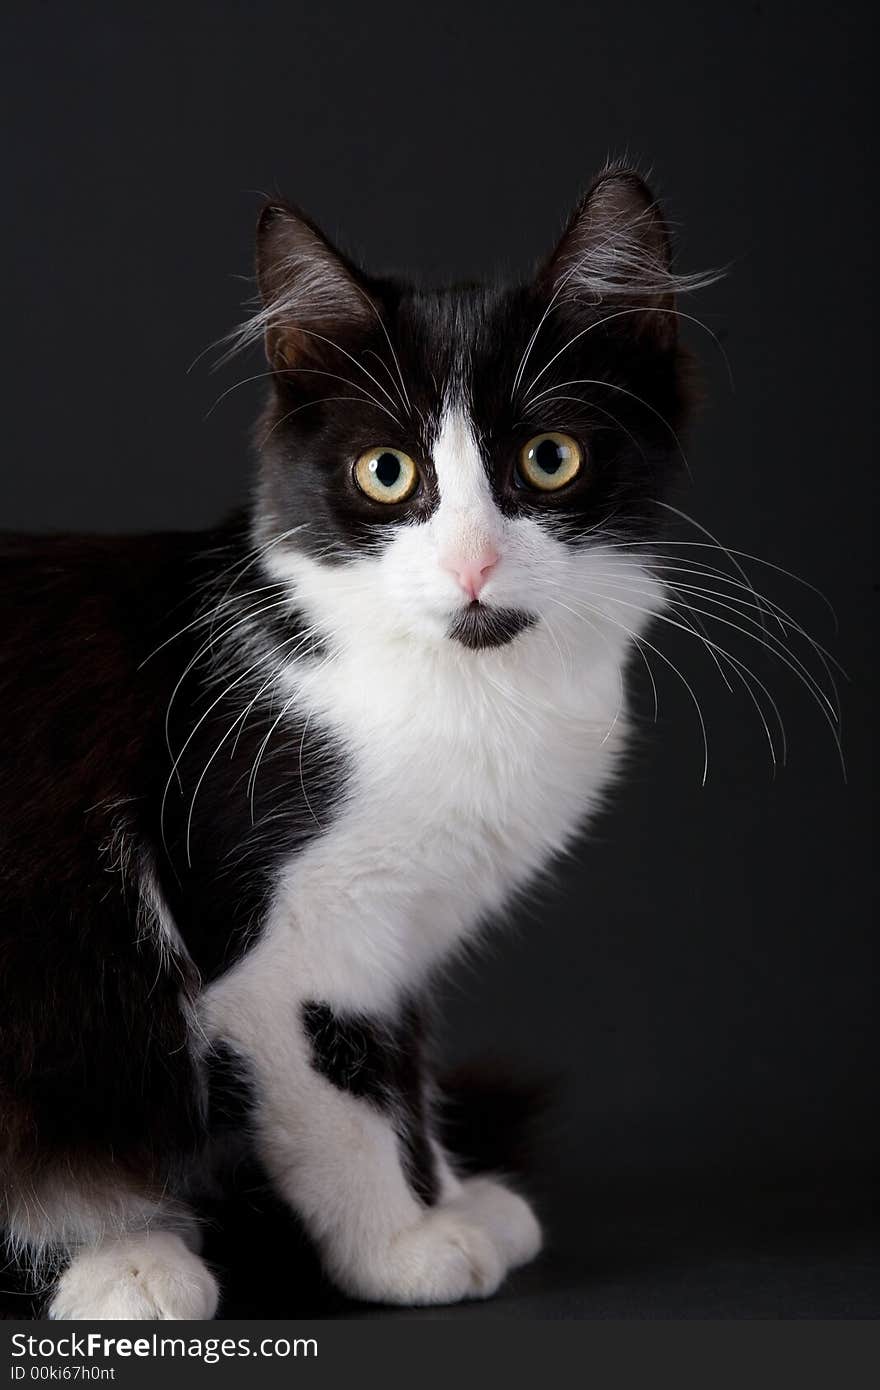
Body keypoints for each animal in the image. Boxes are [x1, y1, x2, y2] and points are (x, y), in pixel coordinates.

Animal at [0, 168, 711, 1317]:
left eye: (549, 458)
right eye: (388, 471)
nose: (472, 565)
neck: (468, 691)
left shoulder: (402, 933)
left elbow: (403, 1061)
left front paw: (455, 1195)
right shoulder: (275, 936)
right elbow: (343, 1095)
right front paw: (402, 1244)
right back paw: (129, 1258)